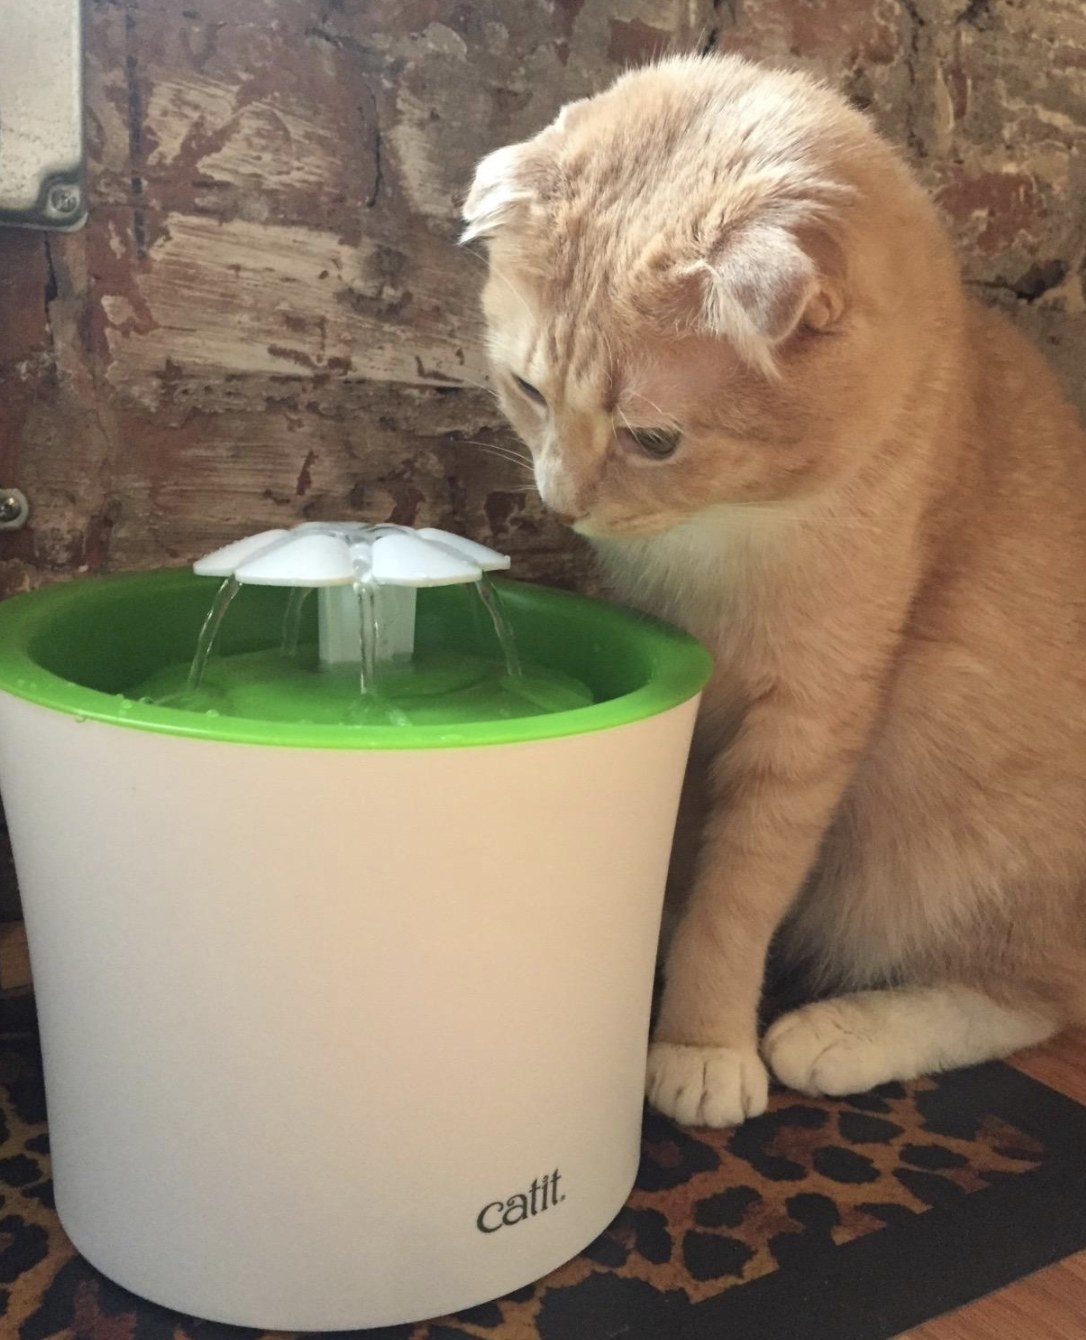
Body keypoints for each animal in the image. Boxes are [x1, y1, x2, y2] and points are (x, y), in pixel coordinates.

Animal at [458, 52, 1083, 1125]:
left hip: (963, 813)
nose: (562, 500)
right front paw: (655, 925)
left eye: (654, 438)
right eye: (530, 392)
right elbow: (681, 843)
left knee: (1028, 998)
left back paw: (845, 1033)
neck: (721, 536)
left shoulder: (809, 724)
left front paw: (701, 1037)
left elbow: (739, 895)